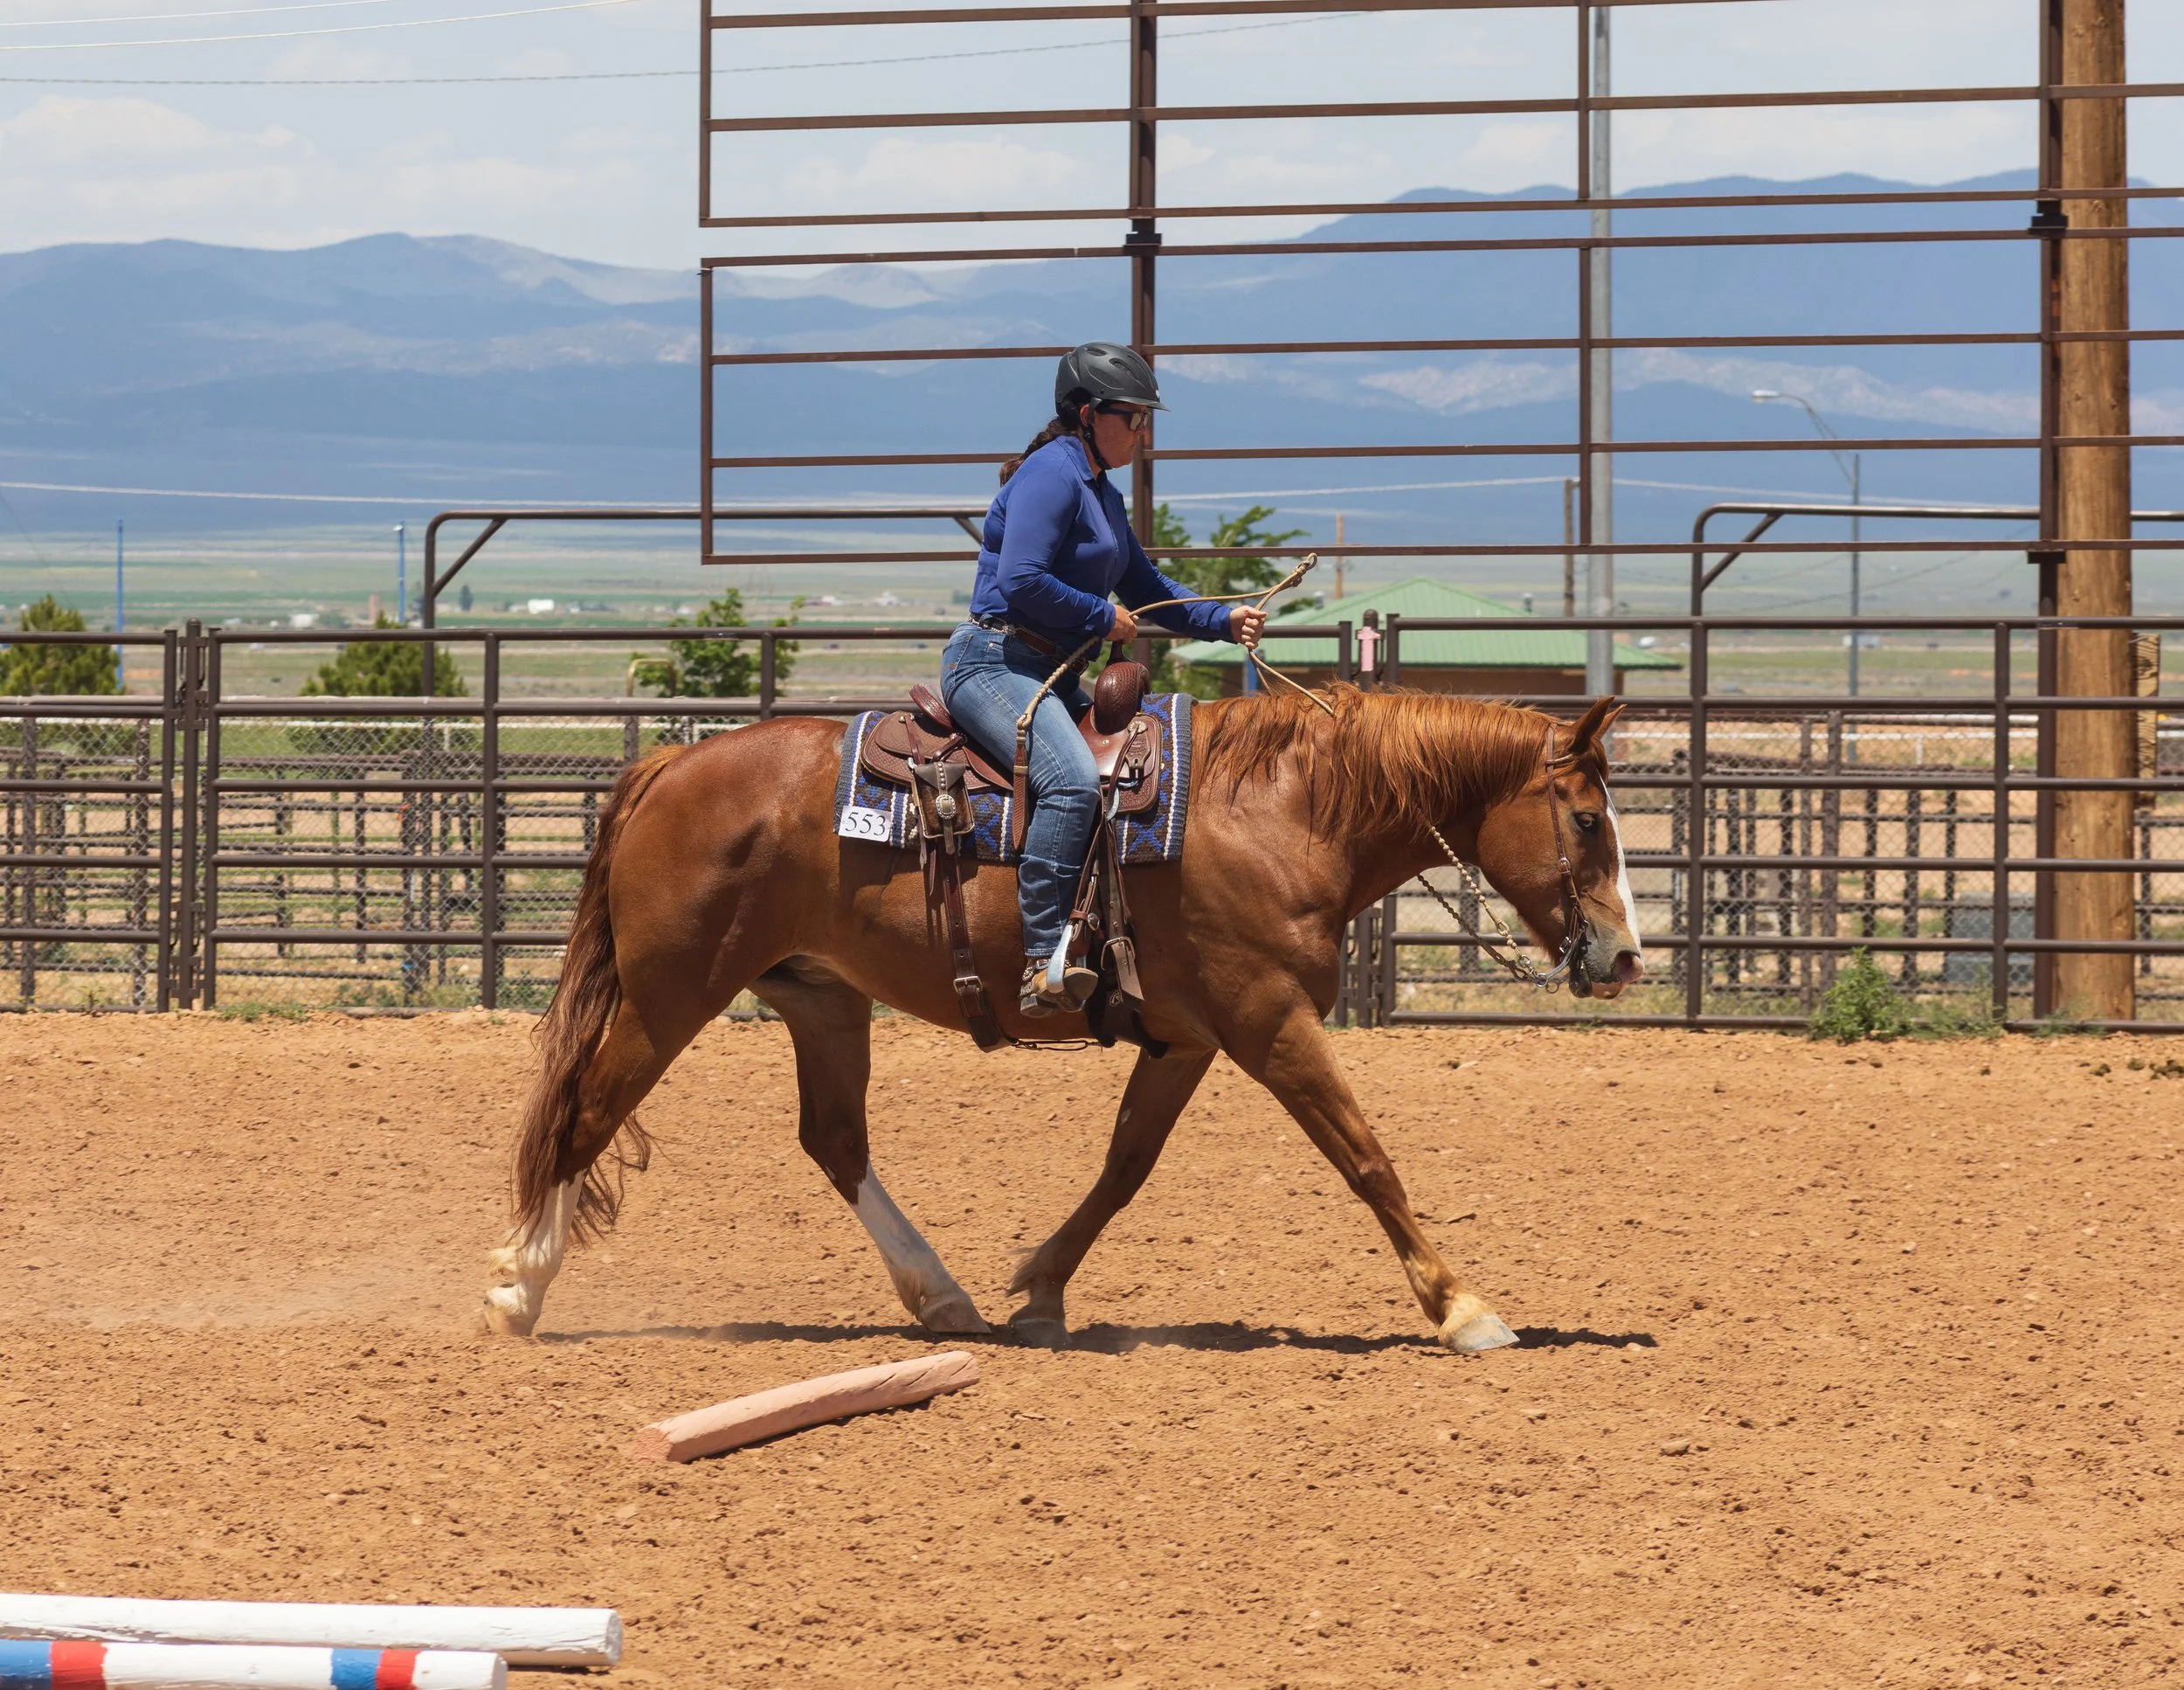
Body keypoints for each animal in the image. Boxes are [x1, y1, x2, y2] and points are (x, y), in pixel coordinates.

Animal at [480, 686, 1643, 1353]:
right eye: (1588, 818)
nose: (1625, 957)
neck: (1279, 811)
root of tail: (668, 764)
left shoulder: (1191, 1036)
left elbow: (1125, 1166)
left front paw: (1038, 1290)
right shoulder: (1269, 1022)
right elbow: (1365, 1156)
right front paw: (1463, 1306)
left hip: (820, 995)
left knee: (834, 1137)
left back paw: (943, 1299)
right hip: (673, 989)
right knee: (585, 1110)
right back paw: (514, 1287)